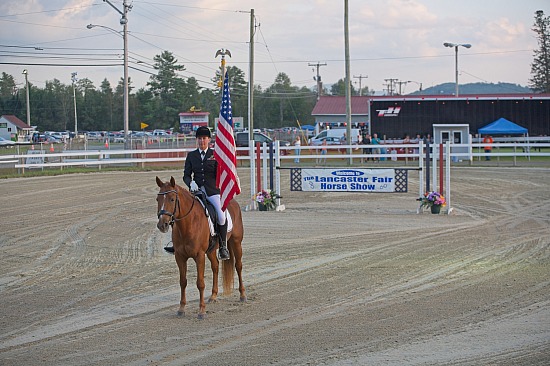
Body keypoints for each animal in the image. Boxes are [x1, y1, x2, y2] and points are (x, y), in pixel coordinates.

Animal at [157, 177, 248, 318]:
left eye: (172, 199)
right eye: (158, 199)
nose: (162, 225)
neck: (188, 224)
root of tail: (233, 202)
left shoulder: (199, 256)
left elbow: (200, 283)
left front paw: (201, 311)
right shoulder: (180, 257)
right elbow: (183, 281)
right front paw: (181, 309)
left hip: (236, 242)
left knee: (238, 266)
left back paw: (242, 295)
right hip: (211, 250)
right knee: (215, 267)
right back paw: (213, 296)